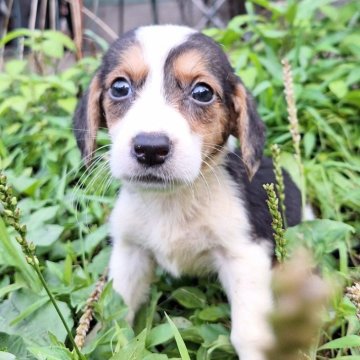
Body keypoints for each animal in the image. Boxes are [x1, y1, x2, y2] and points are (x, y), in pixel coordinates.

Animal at [74, 25, 302, 360]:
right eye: (119, 87)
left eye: (202, 92)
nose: (150, 148)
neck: (172, 200)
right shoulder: (130, 252)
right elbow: (115, 314)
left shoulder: (245, 254)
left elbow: (249, 333)